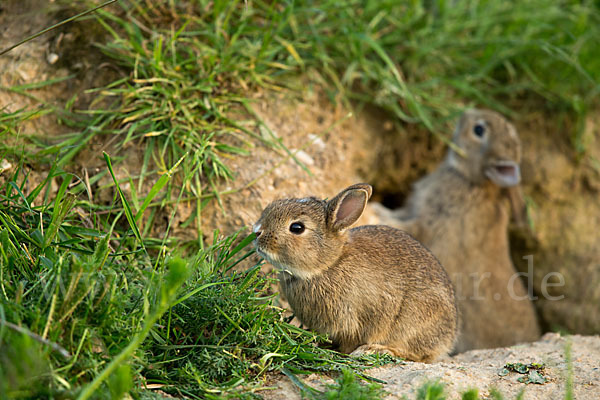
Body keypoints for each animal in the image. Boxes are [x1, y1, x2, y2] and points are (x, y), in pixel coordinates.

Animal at [376, 109, 540, 354]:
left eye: (478, 130)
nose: (466, 113)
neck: (473, 179)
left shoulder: (430, 221)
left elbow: (406, 225)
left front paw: (376, 211)